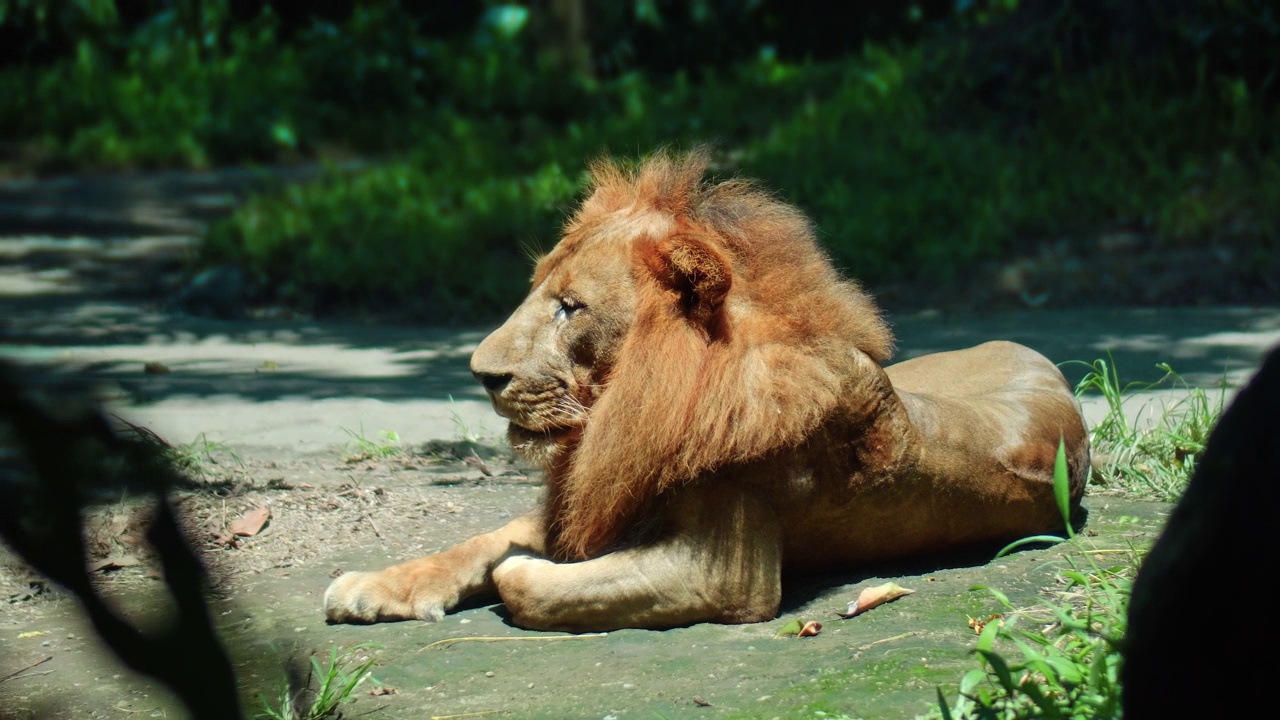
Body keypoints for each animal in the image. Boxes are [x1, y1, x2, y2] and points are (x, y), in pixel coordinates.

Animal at [322, 149, 1090, 627]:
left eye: (571, 307)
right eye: (538, 291)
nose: (482, 374)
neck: (629, 407)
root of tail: (1033, 353)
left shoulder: (721, 575)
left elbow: (523, 576)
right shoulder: (601, 496)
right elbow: (483, 541)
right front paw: (373, 586)